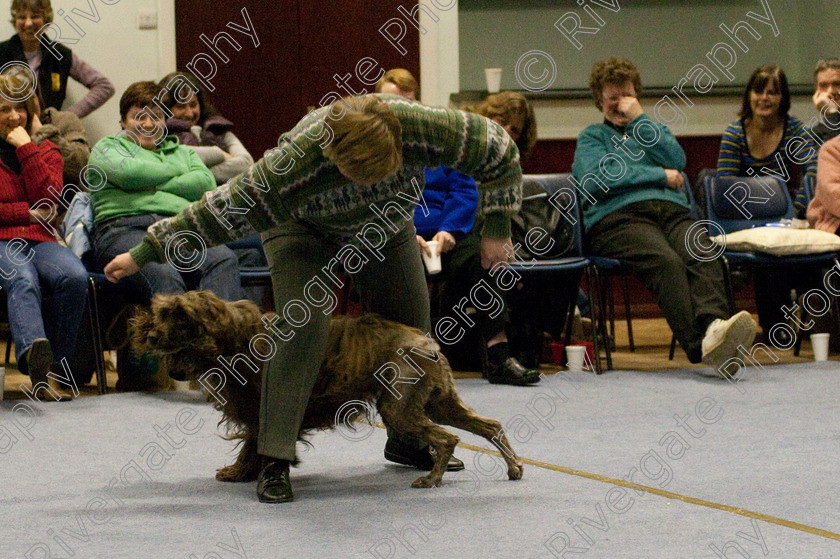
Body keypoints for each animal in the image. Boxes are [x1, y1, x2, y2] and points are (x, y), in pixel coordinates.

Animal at [130, 290, 524, 488]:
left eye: (179, 316)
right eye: (160, 313)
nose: (150, 336)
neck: (231, 337)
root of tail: (426, 342)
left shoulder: (260, 408)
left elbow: (252, 443)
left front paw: (242, 473)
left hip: (401, 408)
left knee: (448, 438)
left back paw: (432, 478)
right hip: (437, 402)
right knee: (490, 426)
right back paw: (515, 468)